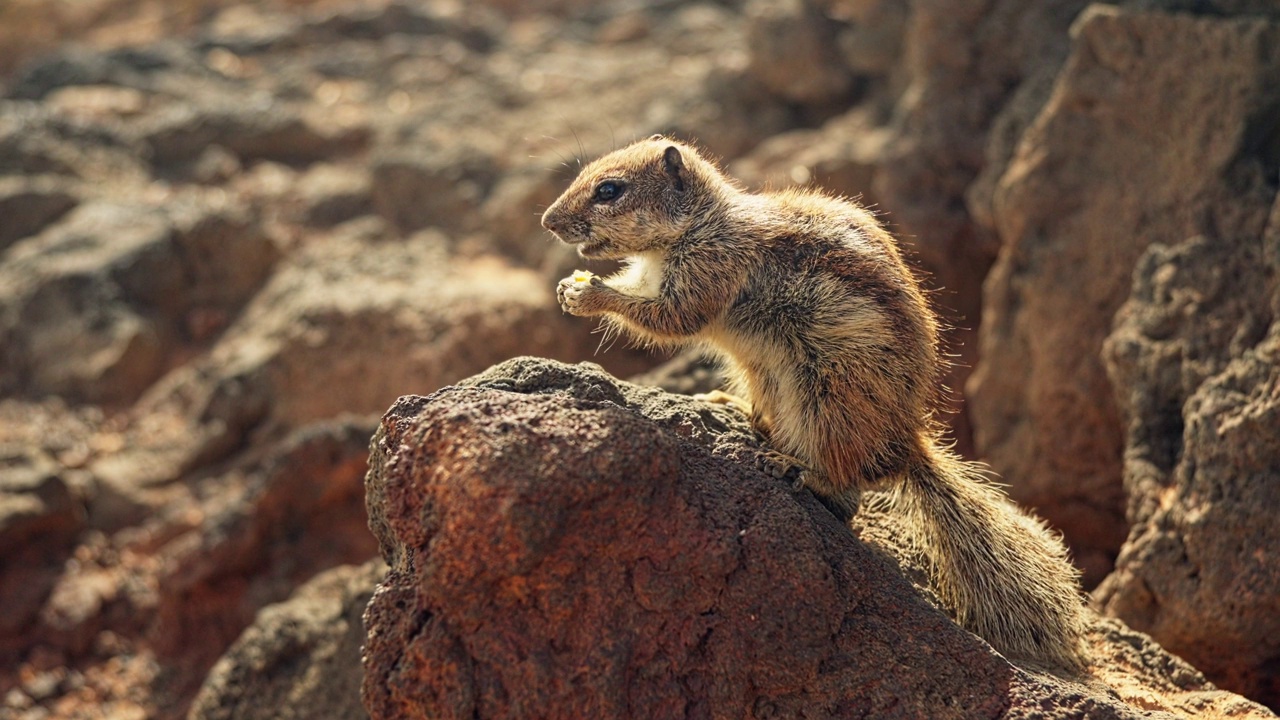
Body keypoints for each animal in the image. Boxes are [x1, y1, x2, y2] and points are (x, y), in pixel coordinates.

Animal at [540, 134, 1090, 666]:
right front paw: (571, 287)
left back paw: (792, 466)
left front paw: (589, 296)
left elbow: (670, 319)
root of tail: (904, 444)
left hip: (826, 399)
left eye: (609, 190)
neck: (702, 223)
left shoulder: (709, 270)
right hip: (764, 375)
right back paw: (735, 409)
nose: (548, 222)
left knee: (844, 485)